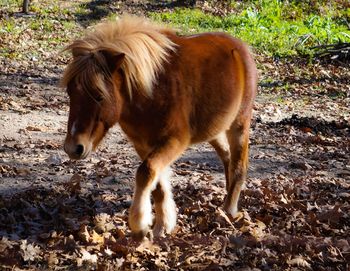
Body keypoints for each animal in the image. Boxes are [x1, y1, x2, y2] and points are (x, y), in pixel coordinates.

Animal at [60, 15, 258, 239]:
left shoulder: (174, 141)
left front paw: (139, 221)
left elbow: (146, 172)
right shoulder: (143, 145)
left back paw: (229, 209)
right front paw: (162, 226)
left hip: (239, 125)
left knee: (238, 164)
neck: (152, 90)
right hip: (213, 130)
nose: (73, 148)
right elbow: (157, 185)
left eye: (99, 95)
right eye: (70, 92)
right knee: (226, 156)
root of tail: (240, 47)